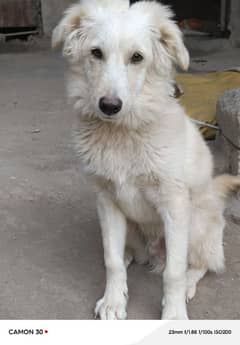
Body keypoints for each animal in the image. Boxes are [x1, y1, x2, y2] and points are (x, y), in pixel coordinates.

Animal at [53, 0, 240, 318]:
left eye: (137, 58)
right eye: (96, 53)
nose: (109, 106)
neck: (124, 134)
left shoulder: (175, 205)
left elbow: (174, 273)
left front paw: (174, 314)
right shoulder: (107, 200)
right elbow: (112, 261)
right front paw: (114, 300)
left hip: (197, 223)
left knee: (201, 264)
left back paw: (188, 284)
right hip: (130, 228)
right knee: (129, 256)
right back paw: (131, 257)